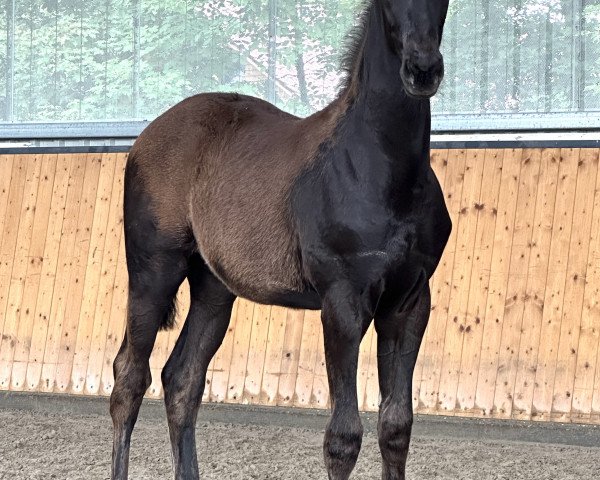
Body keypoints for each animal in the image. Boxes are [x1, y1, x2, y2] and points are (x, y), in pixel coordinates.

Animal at [111, 0, 450, 478]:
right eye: (387, 4)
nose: (422, 70)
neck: (384, 172)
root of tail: (144, 138)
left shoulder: (409, 303)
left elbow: (396, 426)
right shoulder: (342, 302)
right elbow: (343, 438)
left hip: (214, 288)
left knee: (182, 379)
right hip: (152, 272)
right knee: (129, 377)